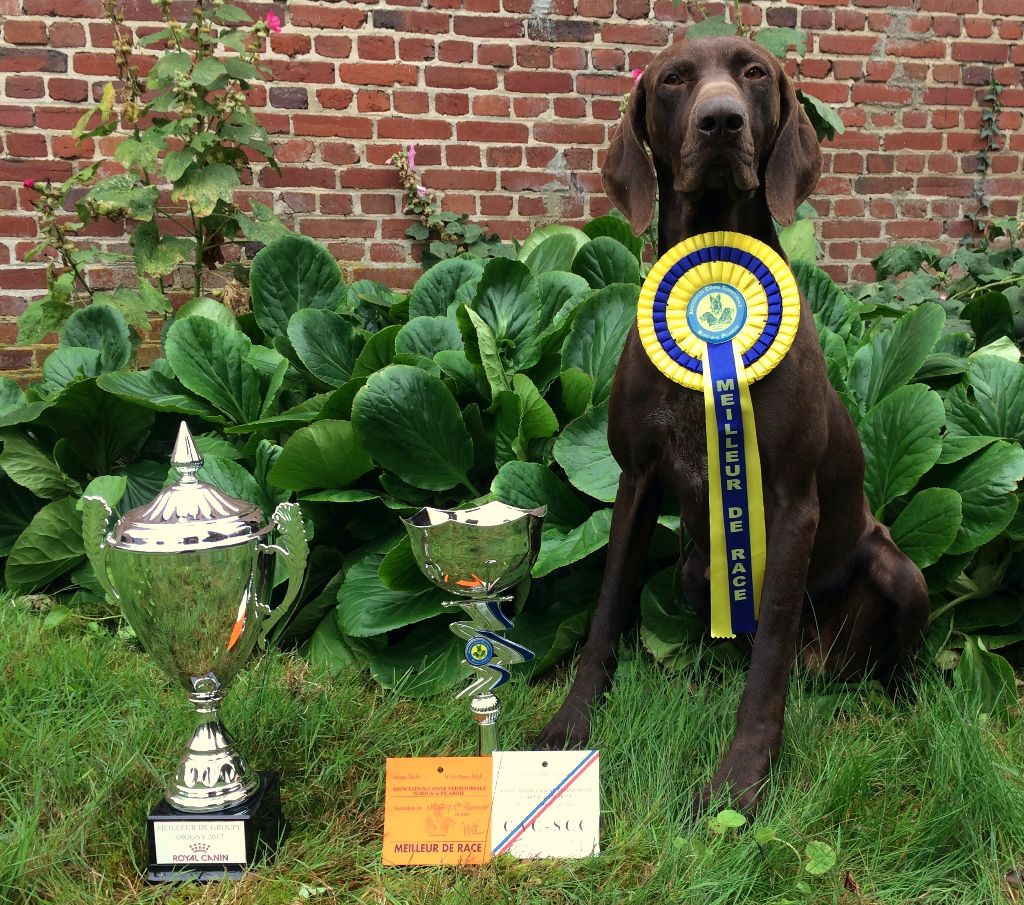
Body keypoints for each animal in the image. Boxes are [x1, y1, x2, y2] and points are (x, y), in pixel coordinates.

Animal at [536, 37, 929, 814]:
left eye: (752, 72)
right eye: (673, 80)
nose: (720, 121)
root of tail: (824, 664)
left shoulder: (792, 501)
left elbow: (770, 646)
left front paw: (741, 777)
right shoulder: (635, 480)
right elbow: (606, 608)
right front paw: (572, 721)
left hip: (899, 572)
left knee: (875, 667)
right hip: (698, 567)